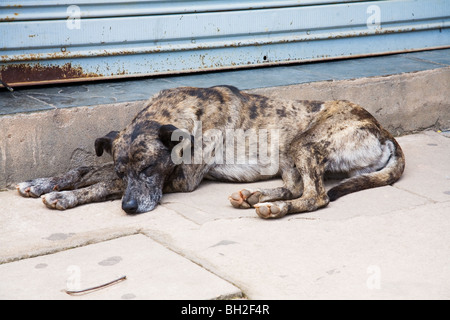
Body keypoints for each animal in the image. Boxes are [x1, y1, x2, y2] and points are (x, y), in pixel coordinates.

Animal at [16, 85, 404, 220]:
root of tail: (383, 130)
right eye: (124, 171)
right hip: (288, 154)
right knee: (298, 187)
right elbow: (86, 170)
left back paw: (274, 207)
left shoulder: (180, 179)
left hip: (302, 143)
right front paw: (41, 183)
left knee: (316, 196)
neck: (173, 113)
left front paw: (65, 197)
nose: (129, 208)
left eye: (149, 169)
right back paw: (255, 196)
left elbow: (98, 183)